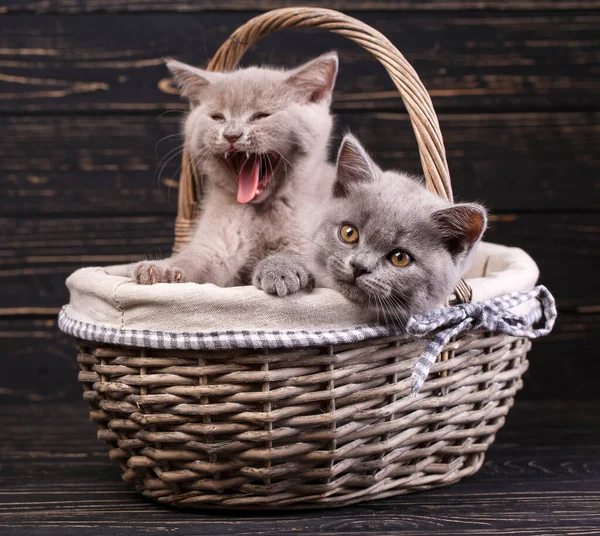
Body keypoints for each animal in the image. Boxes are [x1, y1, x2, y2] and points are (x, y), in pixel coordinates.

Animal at [132, 52, 338, 286]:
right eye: (218, 117)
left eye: (261, 116)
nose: (232, 135)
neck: (263, 210)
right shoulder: (217, 244)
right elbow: (193, 257)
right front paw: (161, 269)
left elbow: (298, 255)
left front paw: (279, 269)